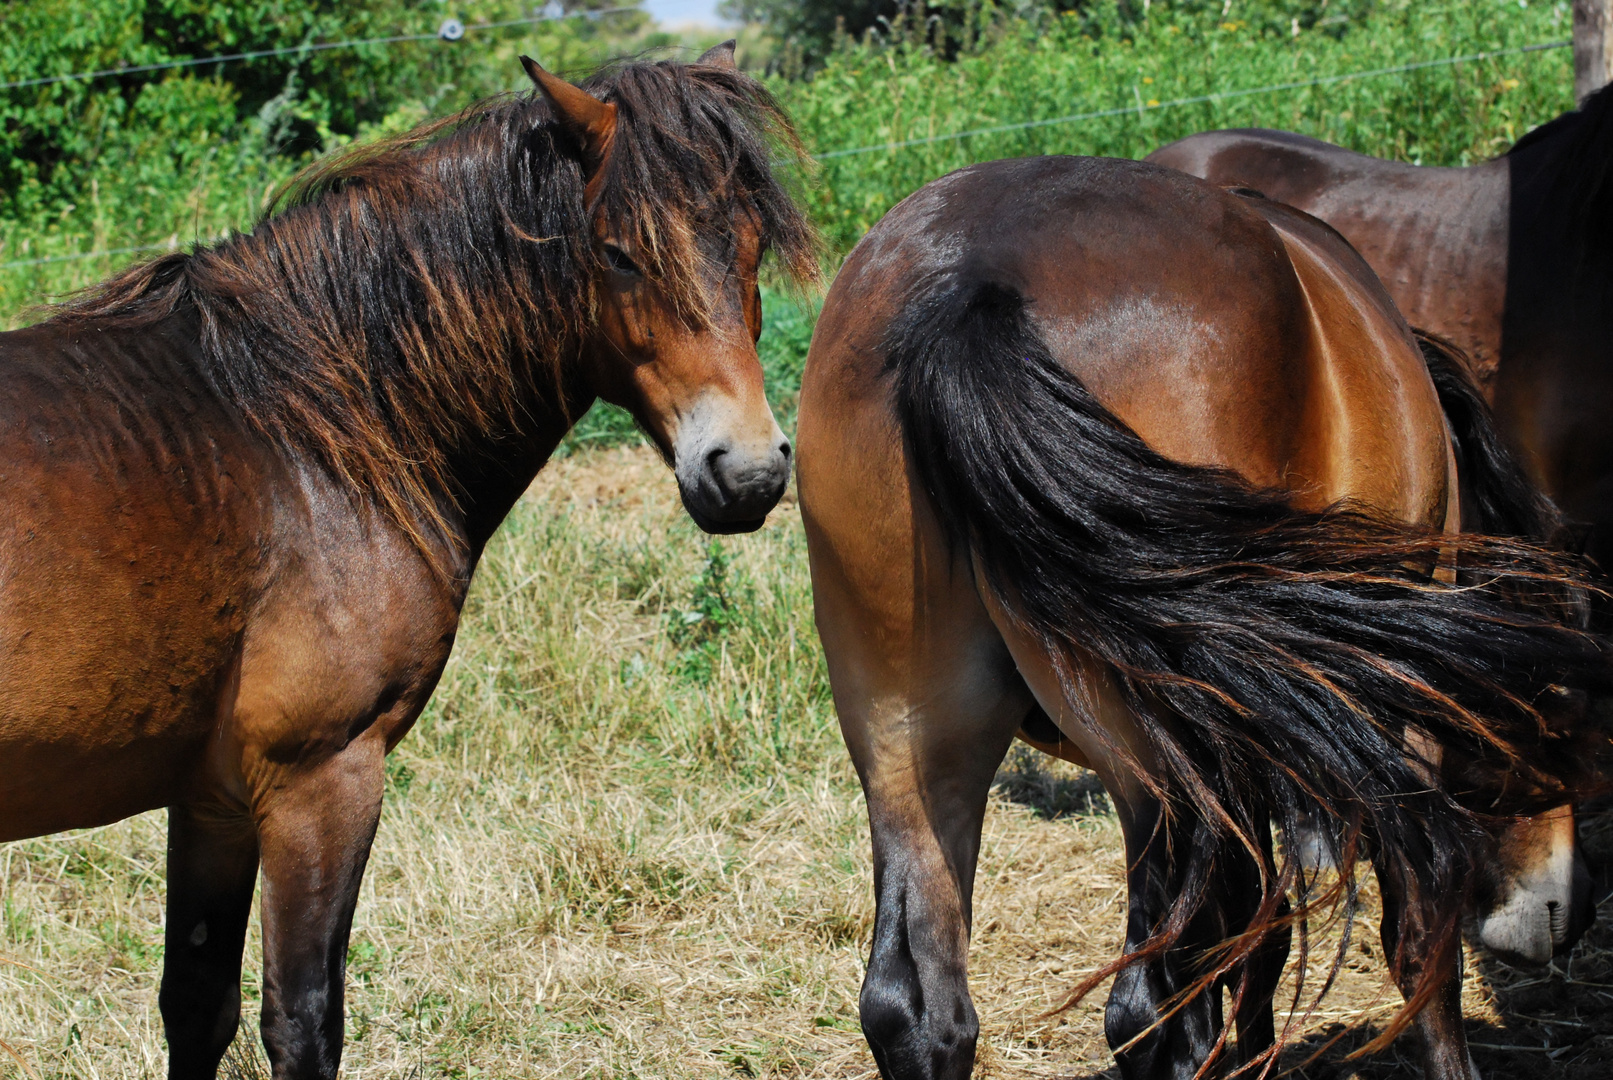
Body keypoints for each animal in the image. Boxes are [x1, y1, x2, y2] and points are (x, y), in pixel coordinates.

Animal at [0, 48, 812, 1080]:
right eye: (619, 253)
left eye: (749, 245)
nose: (746, 472)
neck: (295, 427)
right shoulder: (322, 780)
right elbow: (302, 1021)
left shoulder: (213, 797)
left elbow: (196, 1005)